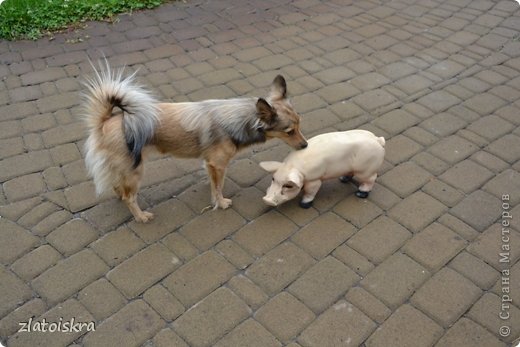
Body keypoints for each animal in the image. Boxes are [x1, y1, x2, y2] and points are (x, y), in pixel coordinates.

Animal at [83, 64, 306, 223]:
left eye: (299, 124)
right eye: (289, 131)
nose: (305, 146)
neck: (239, 120)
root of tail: (105, 121)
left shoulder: (210, 164)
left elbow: (214, 184)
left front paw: (214, 195)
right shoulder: (218, 164)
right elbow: (219, 186)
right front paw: (221, 203)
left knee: (118, 187)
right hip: (135, 171)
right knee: (130, 197)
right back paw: (141, 217)